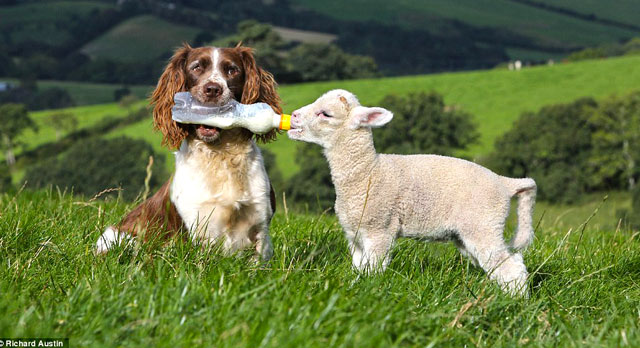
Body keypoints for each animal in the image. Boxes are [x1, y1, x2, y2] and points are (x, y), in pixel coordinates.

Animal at [96, 43, 282, 260]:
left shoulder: (260, 223)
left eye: (232, 70)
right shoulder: (196, 229)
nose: (213, 89)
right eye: (196, 67)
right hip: (119, 237)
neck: (220, 155)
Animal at [288, 89, 536, 296]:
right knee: (509, 262)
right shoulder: (355, 234)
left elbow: (372, 269)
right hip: (469, 233)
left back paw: (516, 302)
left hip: (482, 225)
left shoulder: (379, 229)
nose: (294, 115)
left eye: (325, 114)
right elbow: (359, 267)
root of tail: (505, 183)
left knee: (510, 267)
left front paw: (368, 290)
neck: (368, 172)